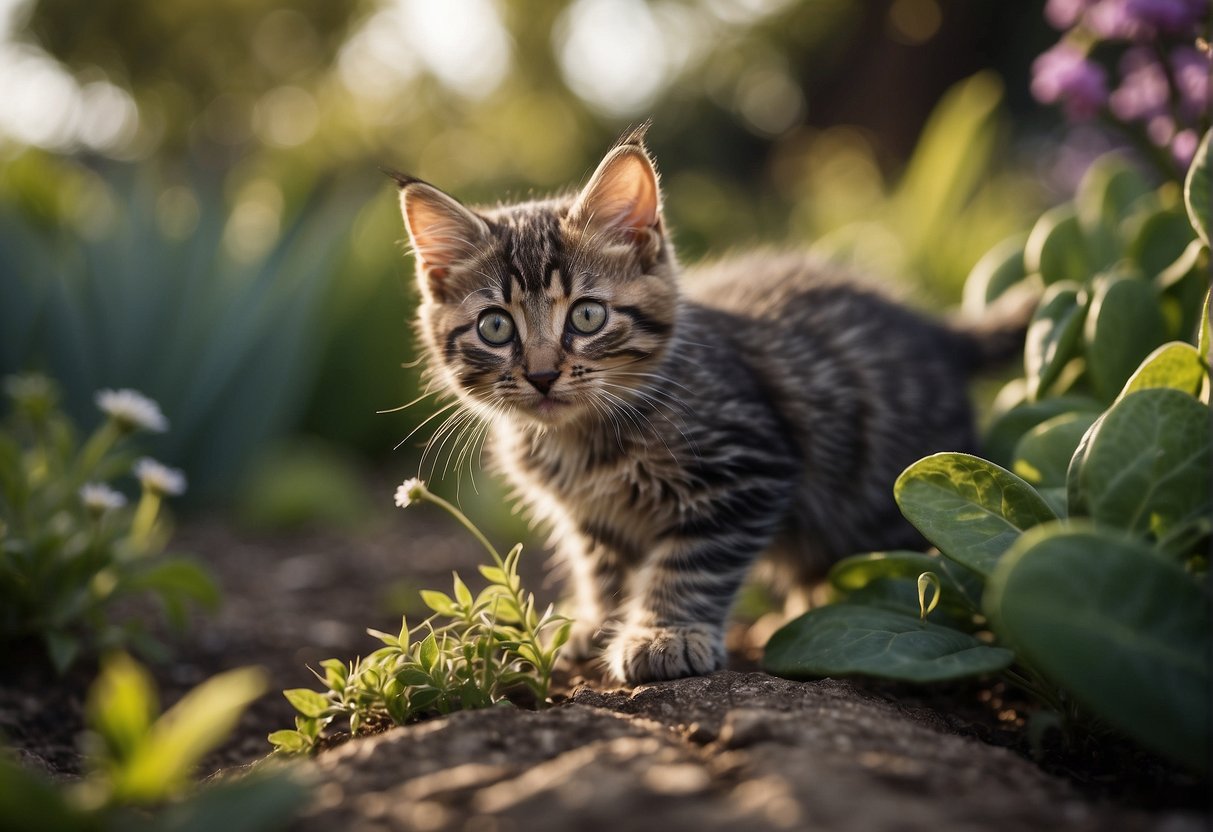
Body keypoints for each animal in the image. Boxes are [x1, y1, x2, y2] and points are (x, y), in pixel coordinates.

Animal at [390, 123, 1023, 684]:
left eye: (588, 316)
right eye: (496, 327)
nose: (543, 375)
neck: (583, 438)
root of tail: (942, 334)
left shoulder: (745, 471)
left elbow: (690, 565)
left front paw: (663, 635)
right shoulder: (593, 520)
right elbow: (603, 572)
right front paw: (595, 625)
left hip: (890, 500)